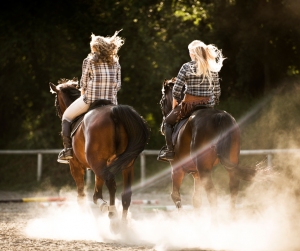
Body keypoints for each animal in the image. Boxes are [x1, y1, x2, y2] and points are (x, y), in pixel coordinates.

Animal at [49, 79, 150, 229]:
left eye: (56, 101)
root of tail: (114, 112)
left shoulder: (76, 166)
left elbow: (81, 196)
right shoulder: (101, 166)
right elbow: (96, 194)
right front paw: (103, 205)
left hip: (97, 163)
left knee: (111, 184)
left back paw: (113, 217)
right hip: (127, 165)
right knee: (126, 194)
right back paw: (123, 223)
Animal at [161, 79, 270, 224]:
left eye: (162, 101)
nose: (162, 127)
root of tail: (219, 116)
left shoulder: (177, 169)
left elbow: (175, 196)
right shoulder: (196, 174)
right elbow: (196, 200)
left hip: (203, 168)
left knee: (212, 192)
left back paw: (215, 223)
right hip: (229, 162)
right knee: (233, 187)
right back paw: (232, 218)